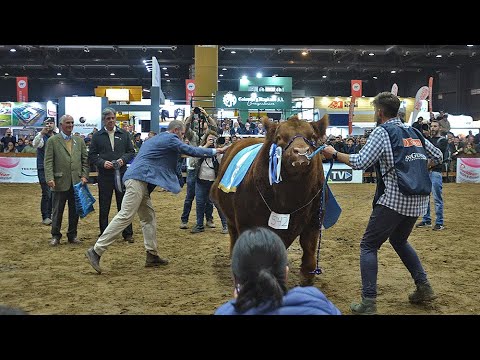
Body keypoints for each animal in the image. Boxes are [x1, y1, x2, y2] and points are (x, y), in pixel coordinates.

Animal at [211, 115, 328, 284]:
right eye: (279, 138)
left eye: (312, 137)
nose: (301, 152)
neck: (291, 199)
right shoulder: (246, 222)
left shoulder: (314, 220)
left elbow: (309, 249)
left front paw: (307, 277)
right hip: (231, 217)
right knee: (233, 236)